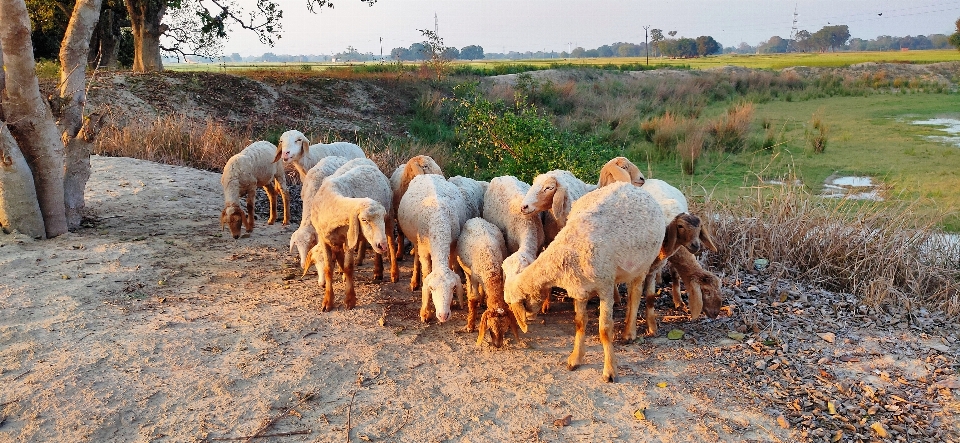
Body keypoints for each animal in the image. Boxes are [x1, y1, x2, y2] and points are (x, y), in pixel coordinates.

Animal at [308, 164, 398, 312]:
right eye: (364, 220)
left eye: (381, 218)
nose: (382, 245)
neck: (331, 204)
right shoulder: (324, 238)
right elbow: (328, 268)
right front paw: (328, 301)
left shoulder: (348, 238)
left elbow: (349, 267)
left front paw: (350, 300)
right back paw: (377, 269)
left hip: (389, 218)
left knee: (391, 243)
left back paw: (393, 273)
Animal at [398, 173, 468, 322]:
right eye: (431, 288)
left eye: (453, 287)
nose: (443, 316)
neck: (439, 224)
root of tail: (427, 174)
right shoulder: (424, 250)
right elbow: (426, 273)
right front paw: (425, 311)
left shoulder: (452, 245)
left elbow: (451, 264)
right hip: (416, 239)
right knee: (416, 255)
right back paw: (414, 281)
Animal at [456, 217, 516, 348]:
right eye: (490, 328)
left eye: (505, 328)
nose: (497, 345)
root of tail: (477, 218)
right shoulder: (474, 276)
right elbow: (473, 298)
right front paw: (470, 326)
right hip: (466, 268)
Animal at [502, 182, 668, 384]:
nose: (530, 316)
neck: (568, 251)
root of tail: (633, 187)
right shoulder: (578, 289)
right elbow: (579, 323)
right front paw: (575, 359)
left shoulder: (605, 286)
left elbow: (605, 329)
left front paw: (610, 370)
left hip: (642, 264)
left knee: (635, 295)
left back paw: (629, 332)